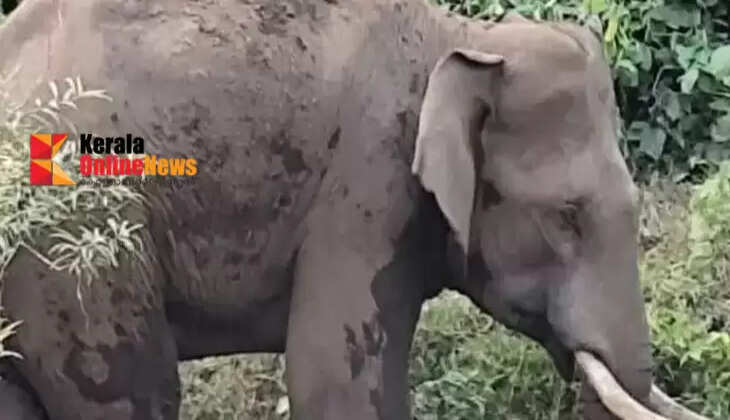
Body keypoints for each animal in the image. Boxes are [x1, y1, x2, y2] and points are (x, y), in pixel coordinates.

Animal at [0, 0, 708, 419]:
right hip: (75, 250)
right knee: (129, 393)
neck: (464, 37)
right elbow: (334, 377)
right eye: (565, 216)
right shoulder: (368, 177)